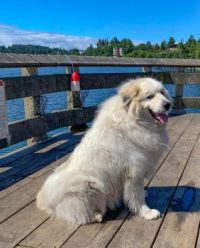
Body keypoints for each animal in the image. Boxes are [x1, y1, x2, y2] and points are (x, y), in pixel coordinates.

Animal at [36, 78, 173, 225]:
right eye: (149, 96)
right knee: (78, 213)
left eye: (162, 93)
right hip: (89, 184)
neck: (135, 120)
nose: (168, 104)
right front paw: (146, 212)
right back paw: (97, 215)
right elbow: (137, 196)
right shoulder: (134, 172)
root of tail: (45, 200)